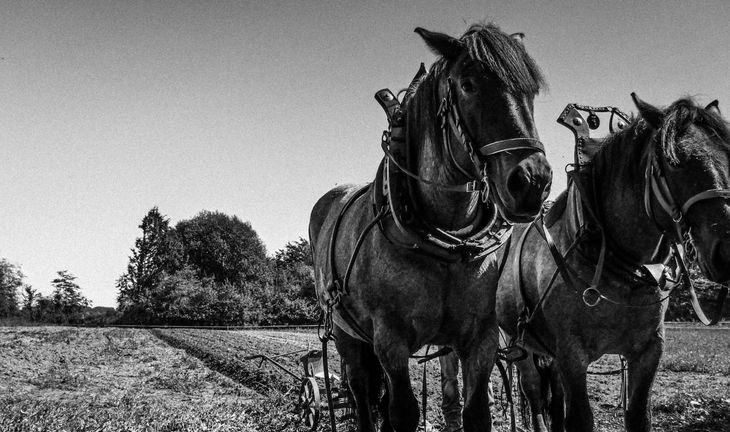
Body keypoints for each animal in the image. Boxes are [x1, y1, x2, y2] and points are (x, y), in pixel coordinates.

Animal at [309, 23, 552, 432]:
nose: (533, 182)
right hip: (348, 334)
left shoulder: (481, 338)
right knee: (361, 393)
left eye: (530, 91)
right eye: (468, 85)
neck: (447, 244)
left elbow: (476, 412)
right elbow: (403, 412)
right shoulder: (389, 338)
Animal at [495, 94, 730, 432]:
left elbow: (638, 416)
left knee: (554, 400)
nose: (727, 249)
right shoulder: (571, 353)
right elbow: (579, 418)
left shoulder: (648, 352)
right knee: (535, 397)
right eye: (674, 162)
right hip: (519, 344)